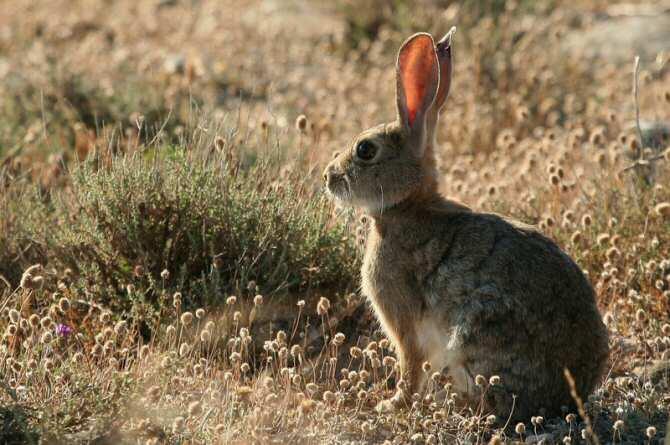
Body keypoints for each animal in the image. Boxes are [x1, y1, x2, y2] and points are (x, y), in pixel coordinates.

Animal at [322, 28, 612, 420]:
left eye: (365, 150)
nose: (328, 177)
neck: (407, 206)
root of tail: (570, 394)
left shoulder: (403, 318)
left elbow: (410, 365)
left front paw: (392, 404)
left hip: (477, 333)